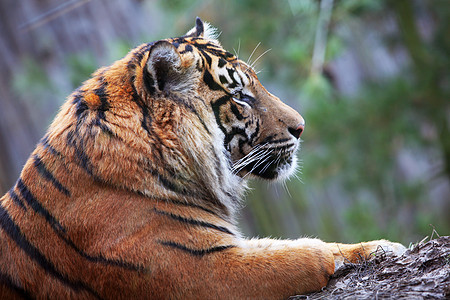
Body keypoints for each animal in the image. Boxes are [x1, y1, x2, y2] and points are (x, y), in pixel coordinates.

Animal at [0, 17, 406, 298]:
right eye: (240, 96)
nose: (301, 127)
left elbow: (297, 244)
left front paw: (383, 246)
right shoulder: (202, 269)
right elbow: (302, 255)